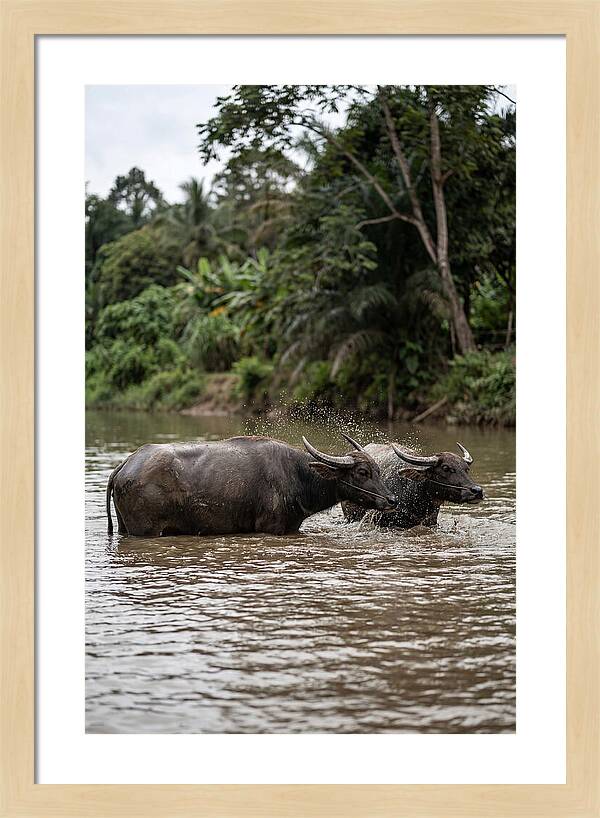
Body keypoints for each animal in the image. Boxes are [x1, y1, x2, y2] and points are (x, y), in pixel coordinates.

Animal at [106, 433, 398, 537]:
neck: (297, 476)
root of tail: (125, 464)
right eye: (362, 471)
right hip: (146, 531)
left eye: (378, 470)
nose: (392, 499)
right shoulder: (271, 527)